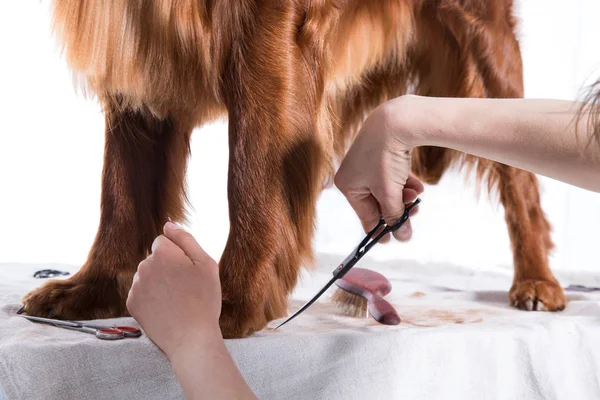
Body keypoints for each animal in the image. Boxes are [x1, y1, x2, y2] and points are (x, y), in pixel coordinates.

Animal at [23, 0, 564, 338]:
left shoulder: (269, 23)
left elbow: (251, 169)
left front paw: (228, 301)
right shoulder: (134, 33)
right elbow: (122, 186)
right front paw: (94, 287)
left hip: (483, 39)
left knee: (521, 178)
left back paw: (536, 281)